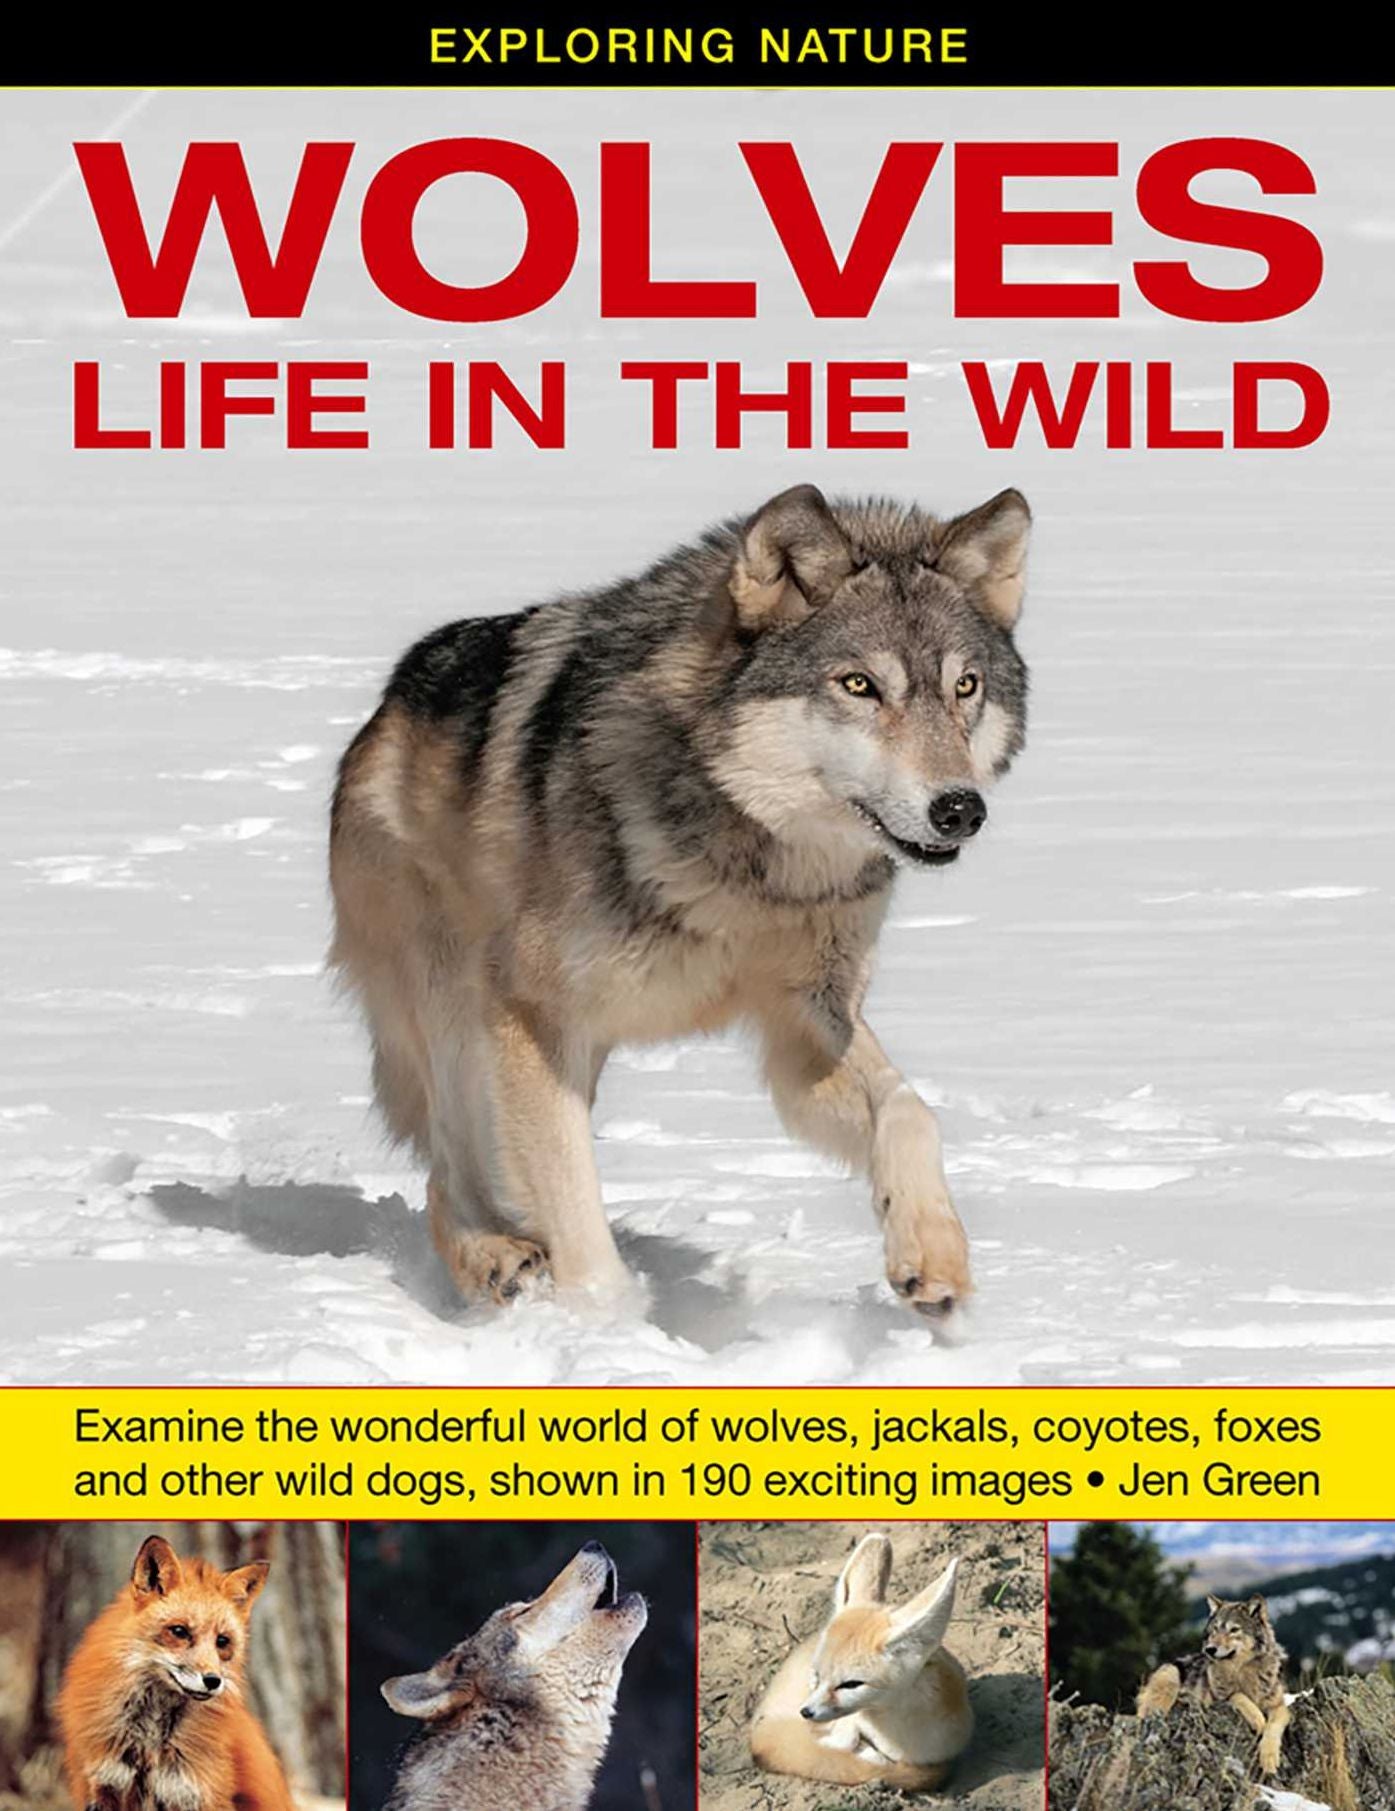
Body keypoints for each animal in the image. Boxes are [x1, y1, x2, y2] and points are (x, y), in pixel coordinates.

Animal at [57, 1535, 294, 1811]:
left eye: (222, 1641)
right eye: (179, 1631)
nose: (213, 1681)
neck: (151, 1738)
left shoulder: (194, 1793)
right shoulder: (103, 1784)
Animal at [330, 483, 1031, 1323]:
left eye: (965, 687)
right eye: (859, 685)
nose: (959, 808)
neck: (752, 868)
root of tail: (387, 702)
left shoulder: (808, 1020)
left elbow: (909, 1111)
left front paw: (930, 1254)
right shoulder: (533, 1016)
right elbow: (578, 1221)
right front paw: (609, 1331)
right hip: (458, 1012)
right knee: (446, 1170)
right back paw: (494, 1259)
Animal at [1136, 1593, 1290, 1776]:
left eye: (1234, 1630)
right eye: (1215, 1629)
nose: (1209, 1649)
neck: (1242, 1672)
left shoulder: (1279, 1706)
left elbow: (1272, 1728)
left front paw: (1269, 1759)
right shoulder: (1216, 1698)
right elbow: (1238, 1695)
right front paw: (1258, 1719)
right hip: (1170, 1678)